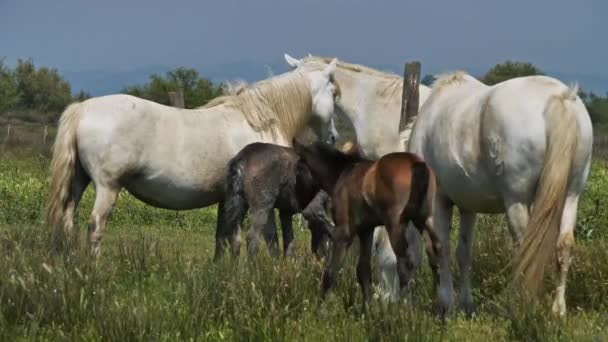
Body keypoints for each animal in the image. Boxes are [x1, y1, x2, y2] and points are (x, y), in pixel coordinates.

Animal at [47, 60, 340, 256]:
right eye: (334, 93)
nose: (334, 137)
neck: (258, 121)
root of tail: (82, 109)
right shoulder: (262, 202)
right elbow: (269, 242)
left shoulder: (226, 199)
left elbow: (225, 239)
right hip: (108, 187)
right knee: (96, 226)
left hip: (79, 182)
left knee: (67, 221)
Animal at [292, 140, 454, 312]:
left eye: (298, 169)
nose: (298, 202)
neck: (342, 174)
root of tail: (417, 165)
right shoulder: (366, 230)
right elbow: (363, 270)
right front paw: (367, 309)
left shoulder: (343, 232)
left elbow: (331, 271)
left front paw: (321, 308)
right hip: (424, 219)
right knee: (435, 254)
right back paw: (437, 303)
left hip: (395, 224)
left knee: (405, 263)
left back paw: (404, 308)